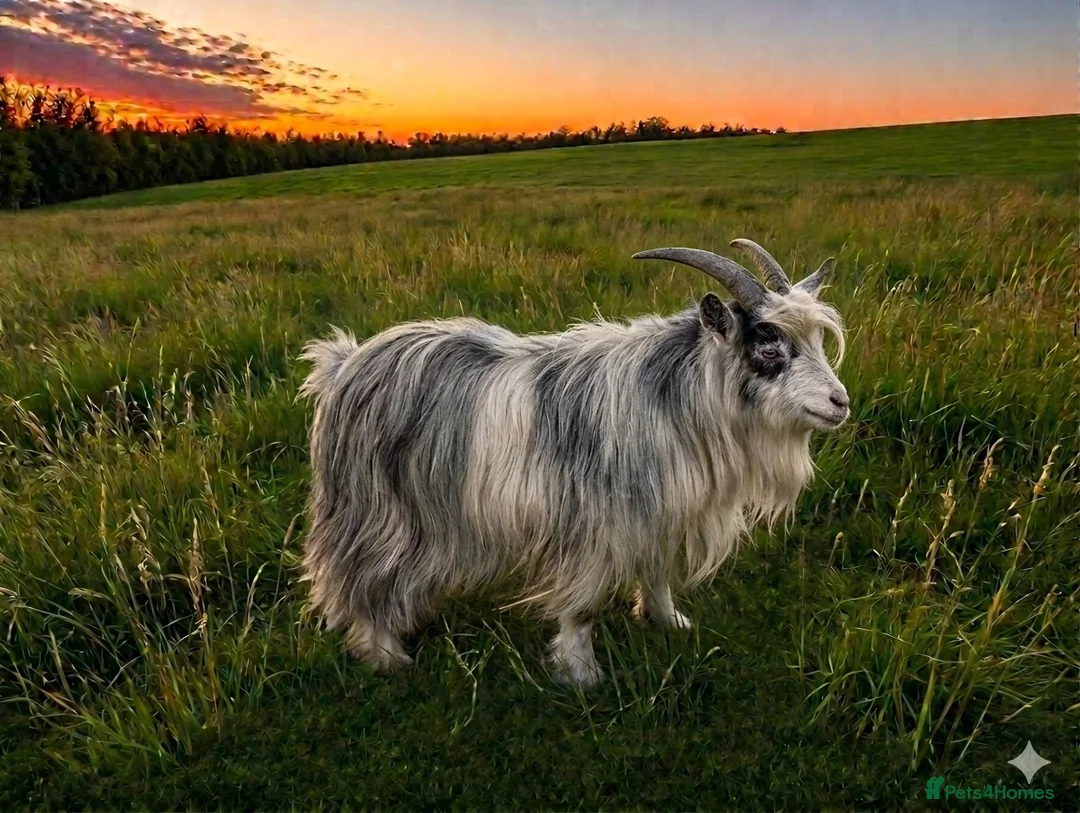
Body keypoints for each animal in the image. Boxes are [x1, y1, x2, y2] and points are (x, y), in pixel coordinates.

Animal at [299, 238, 849, 686]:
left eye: (818, 340)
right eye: (768, 347)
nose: (840, 402)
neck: (674, 396)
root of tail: (343, 365)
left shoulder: (656, 515)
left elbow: (657, 573)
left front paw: (668, 622)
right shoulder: (592, 527)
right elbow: (582, 608)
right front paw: (581, 674)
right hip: (379, 512)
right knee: (360, 577)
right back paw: (385, 655)